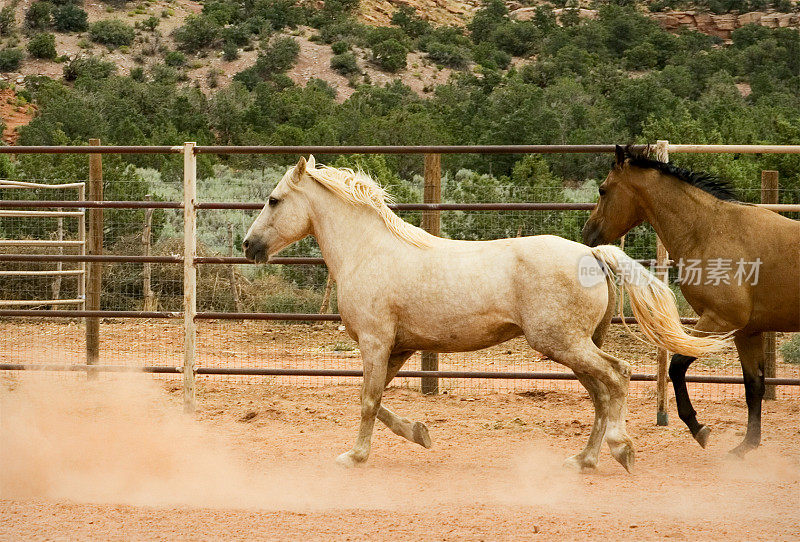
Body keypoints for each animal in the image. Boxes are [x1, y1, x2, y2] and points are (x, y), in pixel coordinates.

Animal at [241, 156, 720, 472]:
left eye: (274, 200)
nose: (248, 246)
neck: (369, 251)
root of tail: (593, 254)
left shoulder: (376, 342)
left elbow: (368, 401)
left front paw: (355, 456)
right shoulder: (398, 348)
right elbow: (375, 402)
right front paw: (420, 433)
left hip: (563, 343)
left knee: (617, 377)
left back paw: (622, 451)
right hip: (574, 346)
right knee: (602, 393)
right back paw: (582, 459)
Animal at [580, 147, 800, 456]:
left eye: (603, 189)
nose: (587, 234)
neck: (710, 231)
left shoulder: (719, 321)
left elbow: (677, 366)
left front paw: (699, 429)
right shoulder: (746, 332)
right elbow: (753, 386)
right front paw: (746, 447)